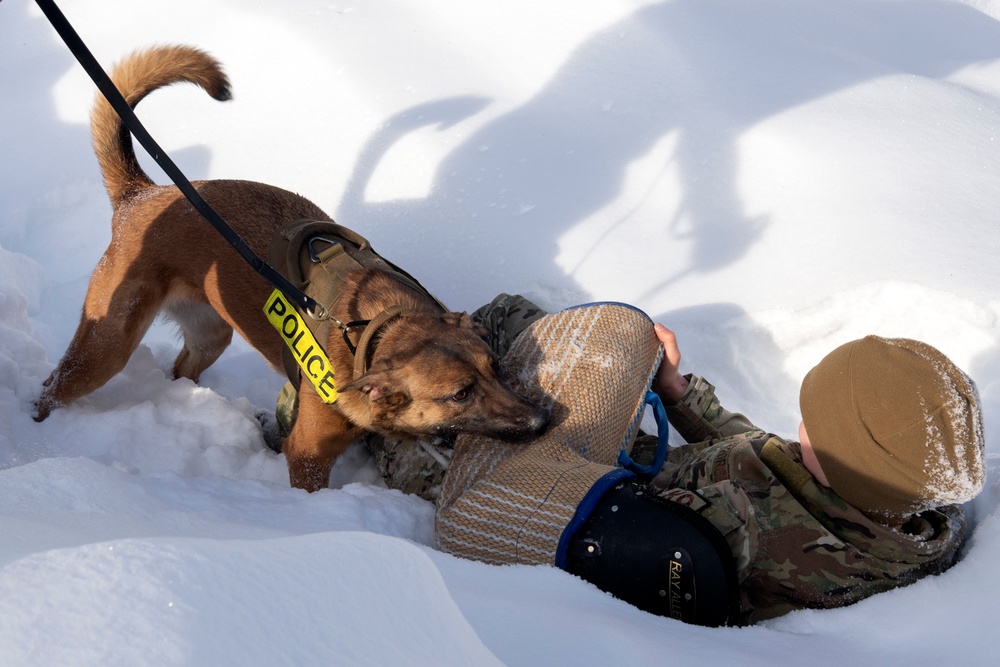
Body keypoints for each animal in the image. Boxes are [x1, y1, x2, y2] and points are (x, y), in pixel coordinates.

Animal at [35, 43, 552, 490]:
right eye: (460, 393)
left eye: (496, 366)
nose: (543, 421)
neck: (371, 331)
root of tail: (141, 196)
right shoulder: (307, 455)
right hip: (104, 347)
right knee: (52, 386)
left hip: (210, 335)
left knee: (181, 369)